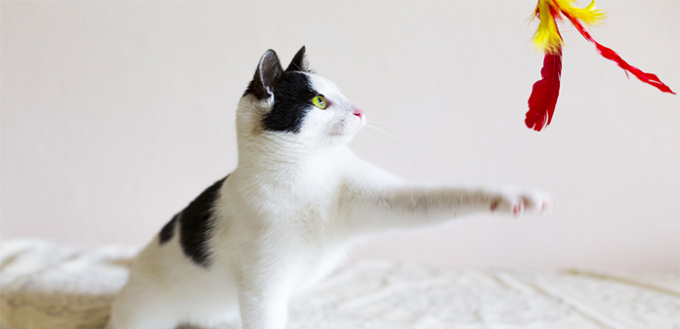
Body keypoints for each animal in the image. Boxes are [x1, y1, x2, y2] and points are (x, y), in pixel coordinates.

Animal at [106, 46, 552, 328]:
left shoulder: (375, 199)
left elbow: (435, 198)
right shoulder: (262, 288)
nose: (360, 110)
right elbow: (265, 316)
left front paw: (514, 198)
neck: (308, 172)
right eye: (320, 101)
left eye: (341, 93)